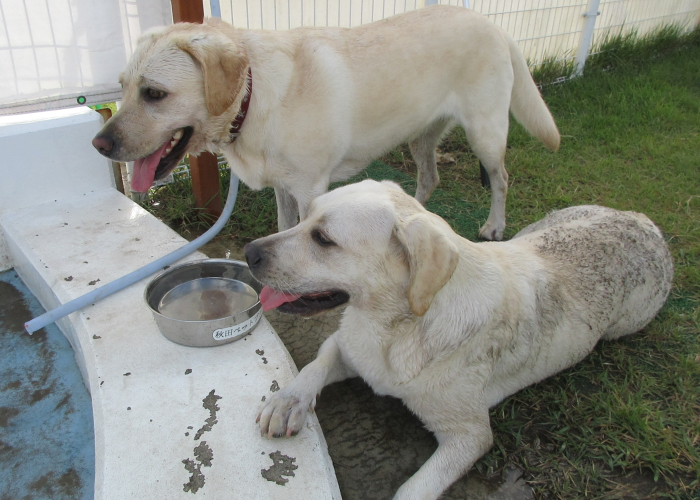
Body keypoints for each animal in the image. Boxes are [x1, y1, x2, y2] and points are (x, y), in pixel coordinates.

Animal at [92, 5, 560, 240]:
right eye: (122, 88)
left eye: (154, 94)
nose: (99, 145)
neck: (253, 94)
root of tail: (494, 26)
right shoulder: (283, 187)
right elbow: (283, 229)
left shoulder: (310, 188)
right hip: (420, 137)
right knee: (430, 178)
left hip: (485, 133)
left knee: (501, 179)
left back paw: (495, 226)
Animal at [243, 179, 672, 500]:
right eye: (306, 216)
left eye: (323, 238)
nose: (249, 251)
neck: (397, 328)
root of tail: (641, 219)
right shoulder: (349, 346)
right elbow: (315, 365)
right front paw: (288, 401)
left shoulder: (469, 436)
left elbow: (413, 489)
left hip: (628, 321)